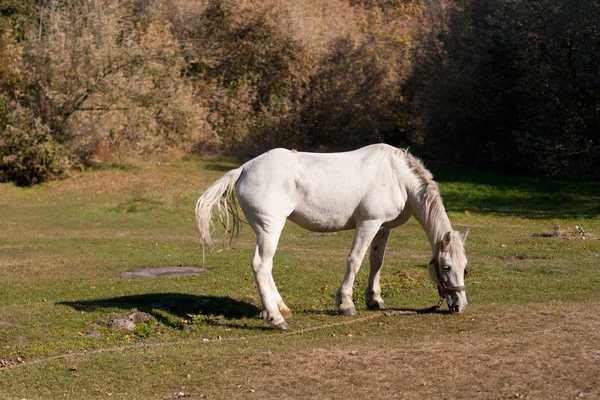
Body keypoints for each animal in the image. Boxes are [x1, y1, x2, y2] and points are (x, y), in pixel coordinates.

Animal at [196, 144, 468, 328]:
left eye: (465, 268)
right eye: (446, 266)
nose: (460, 306)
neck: (398, 176)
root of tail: (244, 169)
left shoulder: (383, 228)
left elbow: (376, 262)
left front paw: (374, 299)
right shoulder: (368, 224)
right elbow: (355, 260)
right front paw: (346, 304)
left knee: (266, 266)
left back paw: (281, 308)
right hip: (270, 229)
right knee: (261, 266)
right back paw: (275, 318)